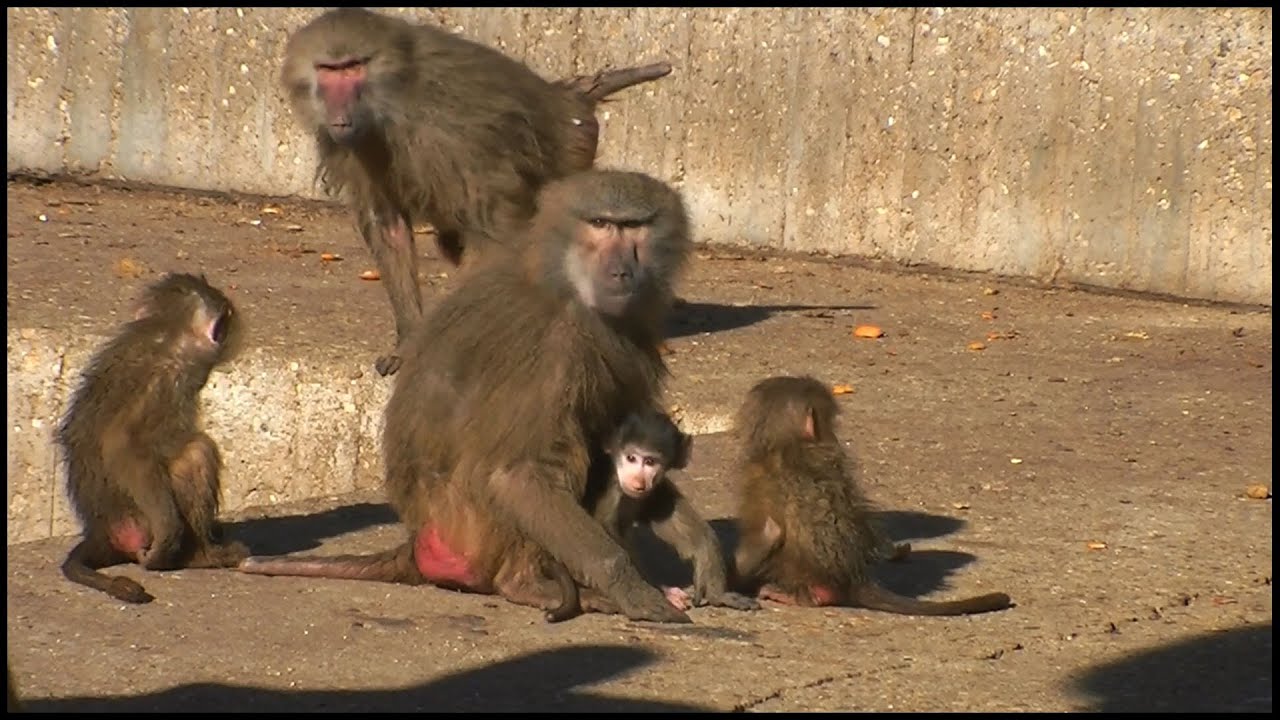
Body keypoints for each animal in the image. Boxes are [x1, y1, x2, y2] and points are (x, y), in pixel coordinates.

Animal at [56, 272, 249, 604]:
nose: (230, 323)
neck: (166, 334)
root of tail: (101, 528)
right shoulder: (168, 381)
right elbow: (123, 446)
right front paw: (170, 539)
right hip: (138, 525)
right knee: (197, 451)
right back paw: (199, 556)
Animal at [240, 169, 695, 623]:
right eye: (600, 224)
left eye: (634, 226)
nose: (620, 273)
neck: (565, 285)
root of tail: (416, 538)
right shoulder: (550, 351)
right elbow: (518, 475)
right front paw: (631, 588)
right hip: (468, 528)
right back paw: (528, 585)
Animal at [280, 7, 673, 376]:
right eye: (328, 70)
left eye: (352, 68)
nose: (339, 113)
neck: (393, 96)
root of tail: (564, 96)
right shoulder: (357, 149)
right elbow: (389, 227)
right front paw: (410, 340)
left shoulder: (450, 134)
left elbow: (490, 230)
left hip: (573, 149)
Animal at [543, 409, 760, 623]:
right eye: (631, 458)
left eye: (650, 462)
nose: (637, 479)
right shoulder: (611, 488)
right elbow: (606, 529)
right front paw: (661, 593)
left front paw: (715, 588)